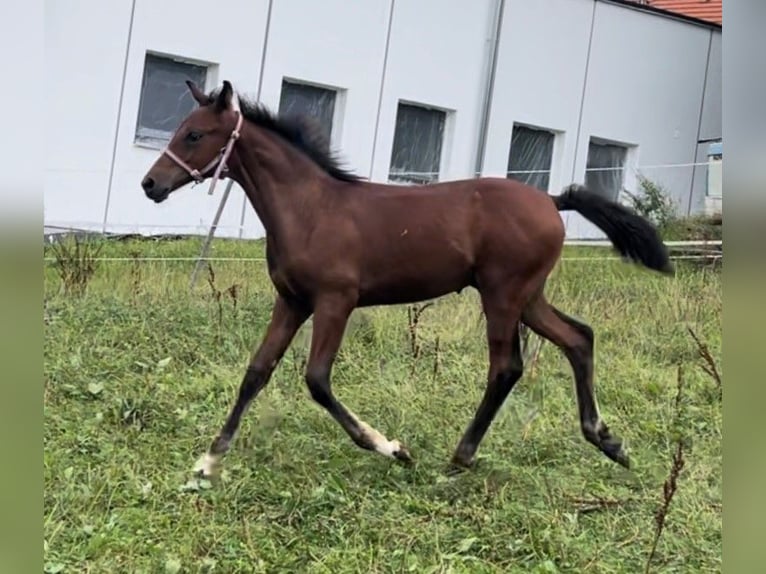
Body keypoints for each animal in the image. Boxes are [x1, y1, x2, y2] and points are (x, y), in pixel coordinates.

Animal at [142, 79, 672, 480]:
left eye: (195, 134)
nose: (150, 184)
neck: (310, 208)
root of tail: (552, 200)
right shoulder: (292, 301)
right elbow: (256, 371)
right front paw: (209, 459)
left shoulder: (336, 300)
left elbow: (316, 379)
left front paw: (392, 447)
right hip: (527, 296)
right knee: (579, 337)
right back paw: (606, 440)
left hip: (502, 294)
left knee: (506, 366)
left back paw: (461, 456)